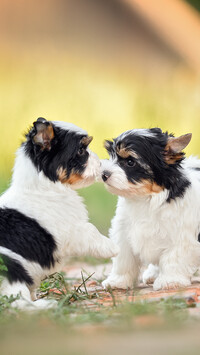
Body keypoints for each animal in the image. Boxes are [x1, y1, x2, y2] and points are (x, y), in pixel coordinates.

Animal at [0, 118, 119, 310]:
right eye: (81, 151)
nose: (101, 163)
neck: (44, 187)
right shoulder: (70, 229)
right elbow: (91, 231)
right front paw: (113, 247)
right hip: (11, 267)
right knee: (16, 301)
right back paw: (45, 305)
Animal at [100, 129, 200, 292]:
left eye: (130, 162)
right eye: (111, 155)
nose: (103, 174)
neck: (147, 198)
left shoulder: (181, 234)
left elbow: (174, 256)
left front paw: (169, 280)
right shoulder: (123, 230)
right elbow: (124, 259)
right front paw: (118, 281)